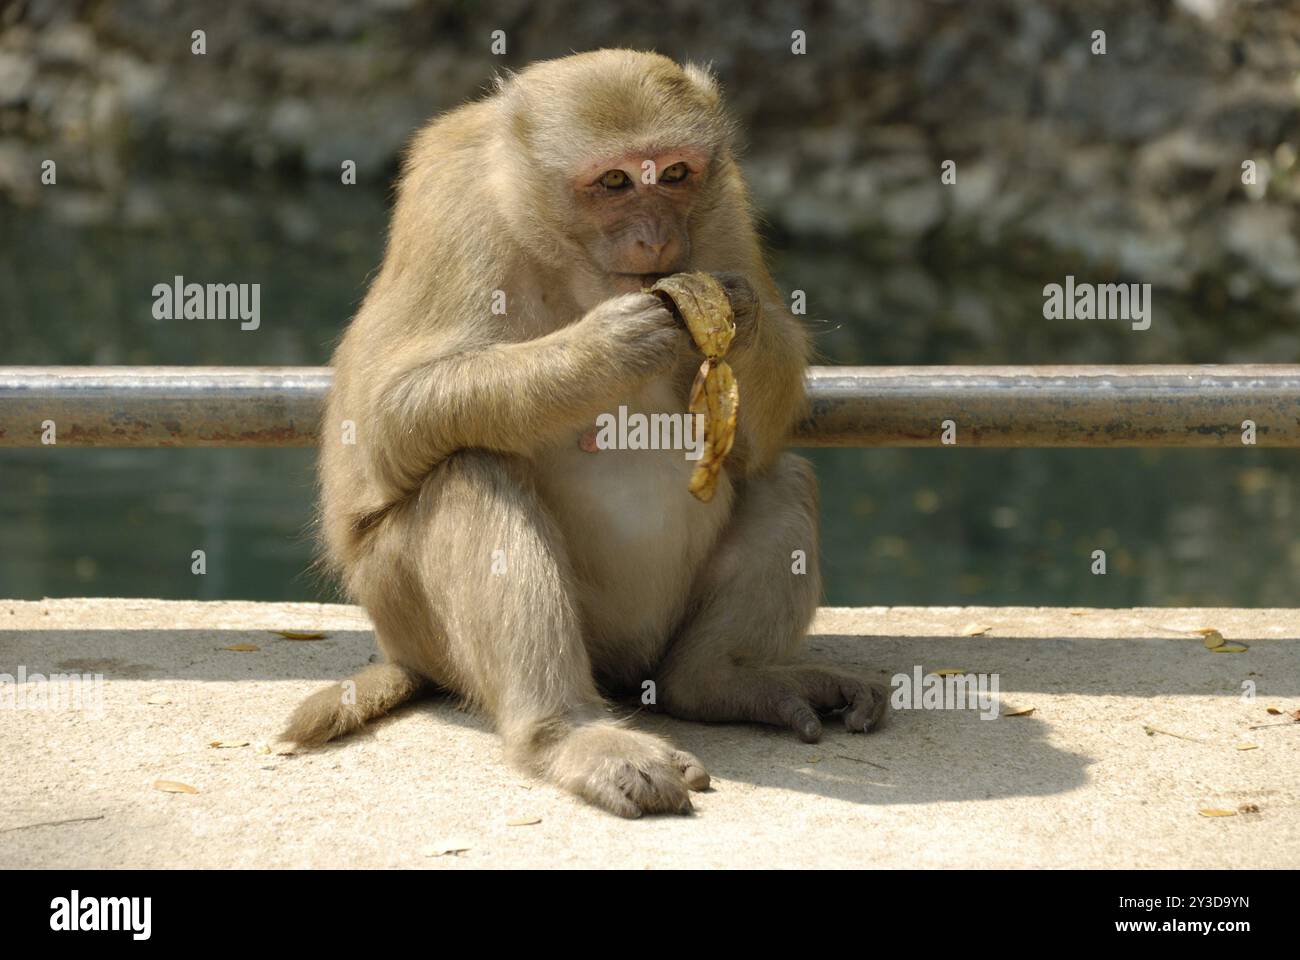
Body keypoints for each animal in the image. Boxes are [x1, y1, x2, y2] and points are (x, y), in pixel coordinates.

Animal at [286, 50, 889, 816]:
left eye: (677, 174)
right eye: (614, 182)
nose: (657, 237)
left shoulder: (721, 204)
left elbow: (757, 435)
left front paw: (736, 314)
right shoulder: (454, 211)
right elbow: (388, 416)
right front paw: (604, 351)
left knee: (780, 475)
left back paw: (721, 681)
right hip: (408, 614)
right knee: (468, 472)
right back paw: (566, 734)